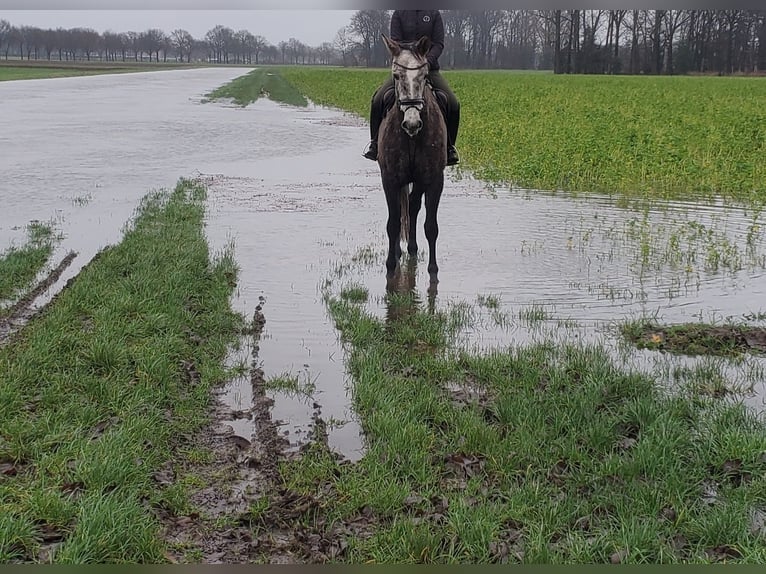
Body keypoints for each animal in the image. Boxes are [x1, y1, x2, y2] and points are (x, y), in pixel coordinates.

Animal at [376, 35, 448, 286]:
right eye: (397, 75)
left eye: (424, 76)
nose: (412, 123)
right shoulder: (390, 178)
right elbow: (393, 223)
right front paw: (390, 266)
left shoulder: (434, 180)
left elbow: (431, 227)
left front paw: (433, 271)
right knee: (403, 209)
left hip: (419, 180)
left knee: (414, 205)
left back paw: (413, 248)